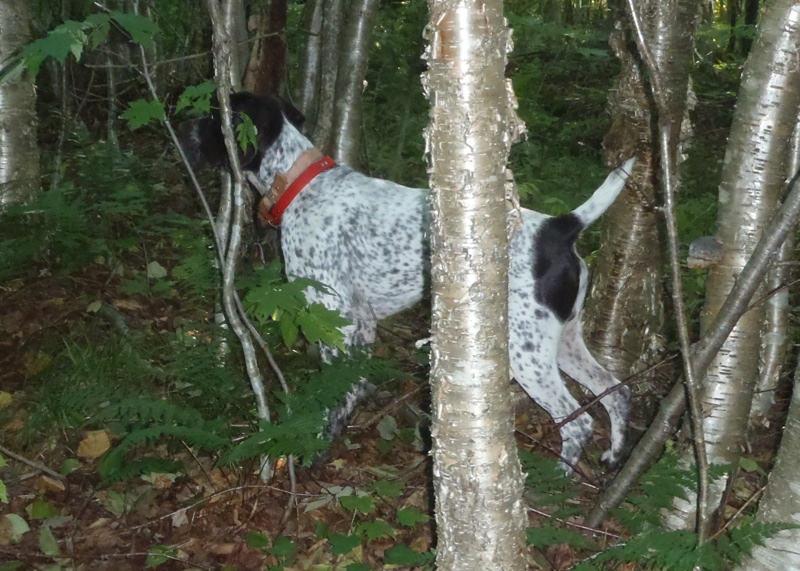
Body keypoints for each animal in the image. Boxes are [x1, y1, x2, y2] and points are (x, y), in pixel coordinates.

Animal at [178, 92, 636, 470]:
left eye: (214, 116)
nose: (182, 127)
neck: (300, 184)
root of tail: (560, 227)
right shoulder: (361, 322)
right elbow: (353, 385)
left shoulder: (334, 316)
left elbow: (332, 392)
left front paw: (317, 449)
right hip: (565, 343)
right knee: (616, 393)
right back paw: (613, 458)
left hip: (528, 352)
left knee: (577, 423)